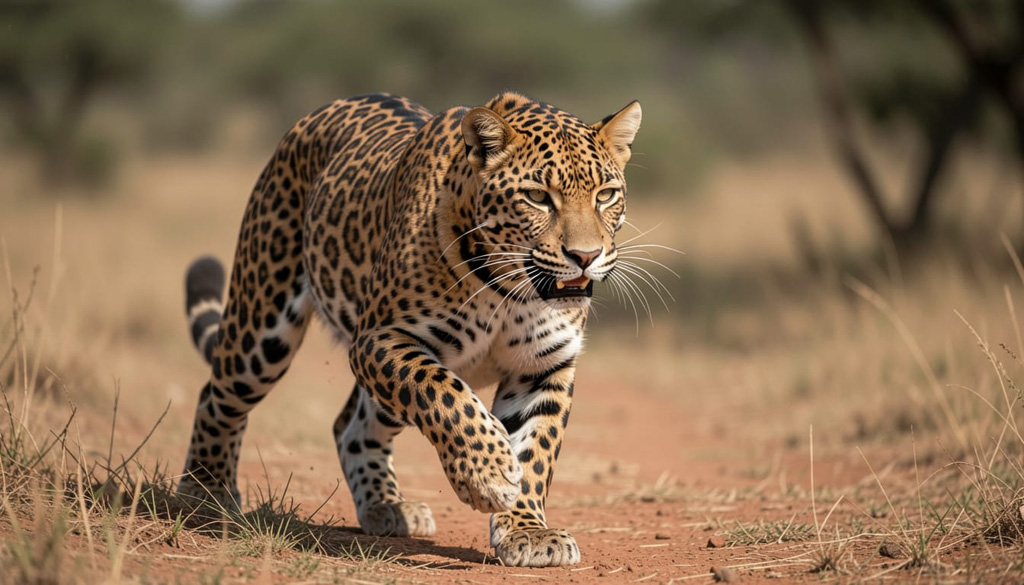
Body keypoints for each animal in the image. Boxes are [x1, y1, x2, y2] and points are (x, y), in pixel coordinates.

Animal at [178, 91, 641, 567]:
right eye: (536, 197)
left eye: (606, 195)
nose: (585, 257)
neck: (509, 290)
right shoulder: (380, 338)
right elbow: (444, 392)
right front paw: (489, 474)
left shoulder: (544, 367)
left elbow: (535, 450)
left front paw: (527, 530)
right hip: (261, 325)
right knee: (218, 395)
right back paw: (205, 491)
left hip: (373, 395)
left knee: (350, 426)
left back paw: (386, 506)